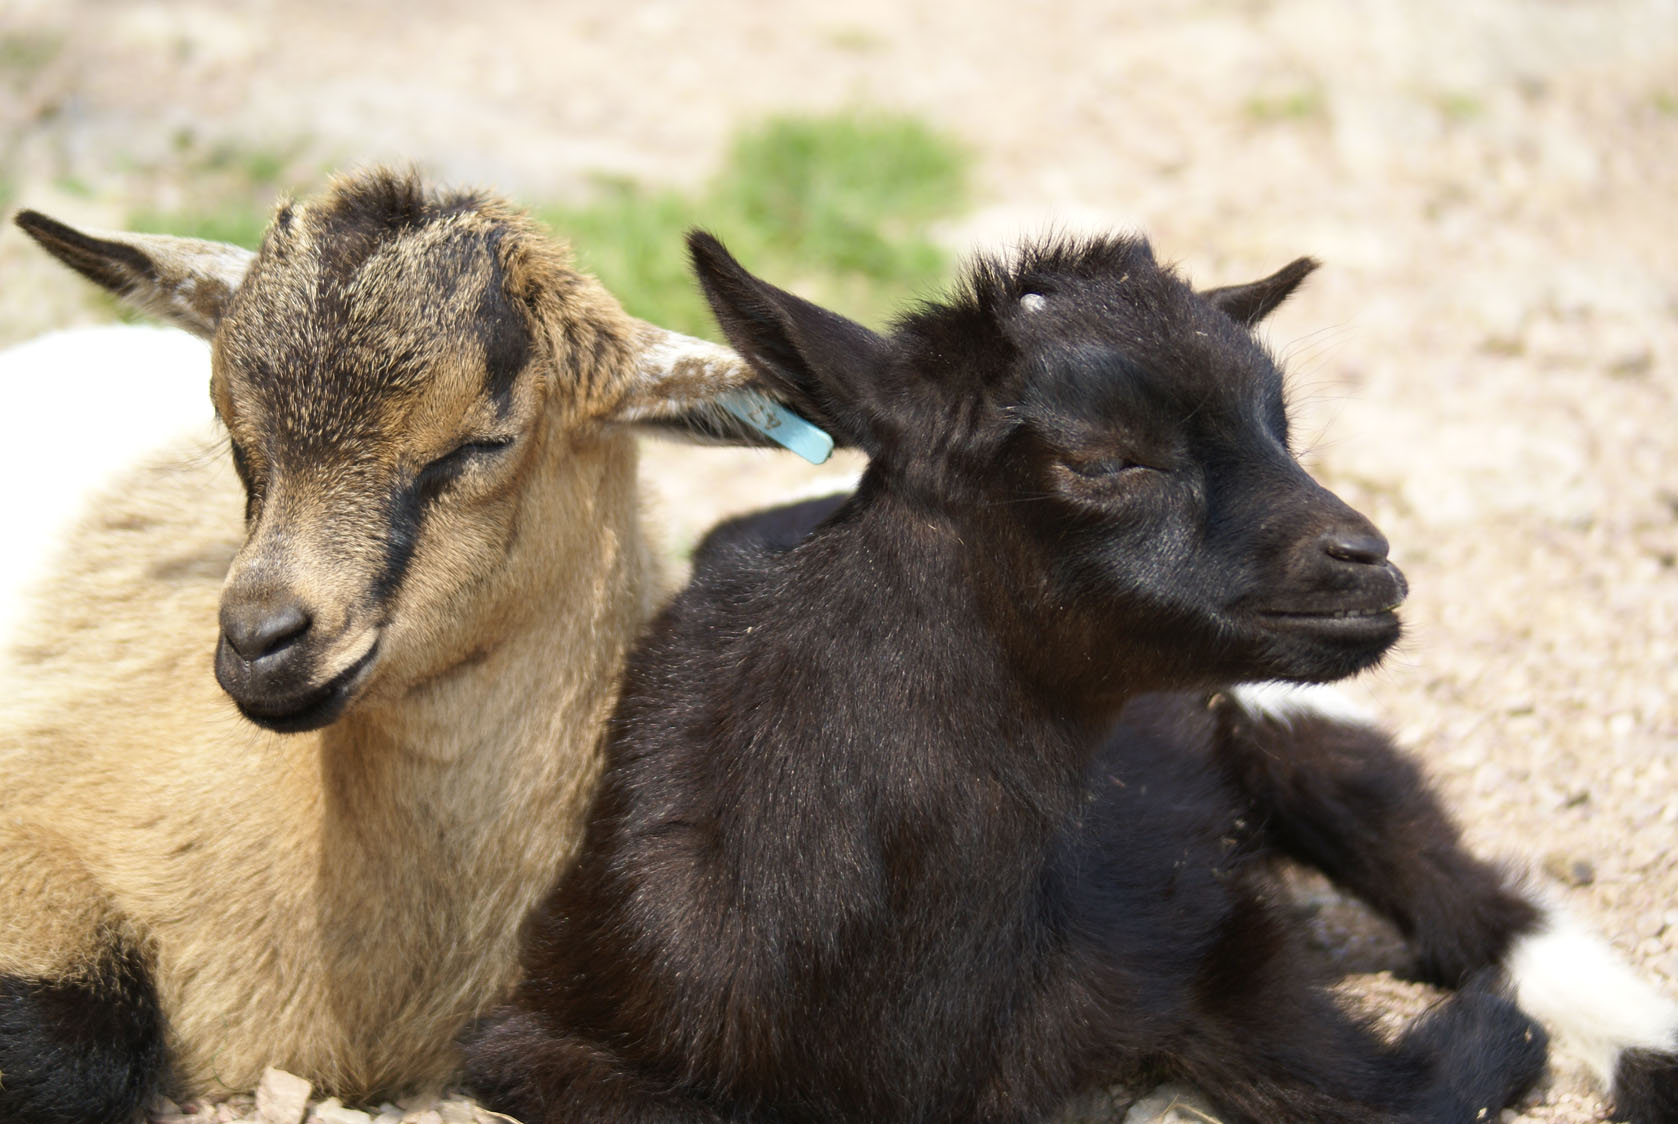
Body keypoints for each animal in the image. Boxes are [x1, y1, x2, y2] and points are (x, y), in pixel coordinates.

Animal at [463, 233, 1678, 1120]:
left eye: (1279, 426)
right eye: (1098, 457)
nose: (1365, 564)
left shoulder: (1194, 921)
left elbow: (1369, 1088)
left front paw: (1497, 1031)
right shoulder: (539, 1028)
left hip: (1294, 721)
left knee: (1462, 883)